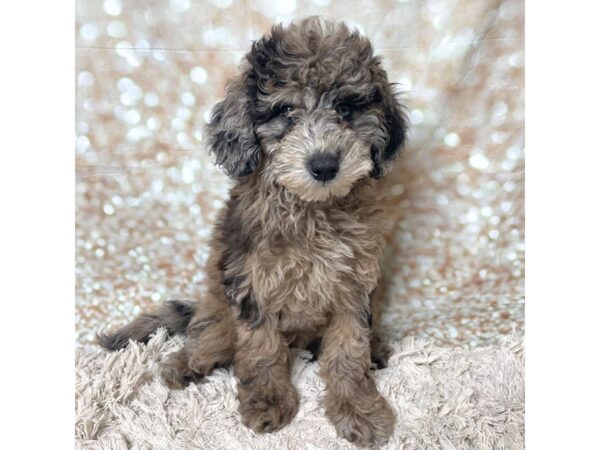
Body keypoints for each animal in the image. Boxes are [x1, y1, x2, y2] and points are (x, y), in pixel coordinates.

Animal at [98, 16, 408, 446]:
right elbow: (261, 348)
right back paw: (186, 363)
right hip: (218, 301)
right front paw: (268, 401)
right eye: (287, 110)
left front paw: (358, 409)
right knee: (207, 331)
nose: (324, 165)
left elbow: (349, 349)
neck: (311, 208)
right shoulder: (252, 280)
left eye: (346, 108)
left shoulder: (353, 281)